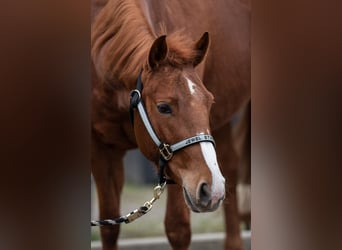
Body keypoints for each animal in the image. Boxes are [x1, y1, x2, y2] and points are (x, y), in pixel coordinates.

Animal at [91, 0, 250, 250]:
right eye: (163, 107)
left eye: (208, 101)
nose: (211, 189)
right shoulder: (102, 149)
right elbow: (110, 226)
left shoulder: (177, 170)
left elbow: (178, 229)